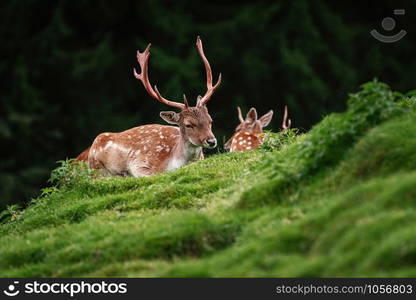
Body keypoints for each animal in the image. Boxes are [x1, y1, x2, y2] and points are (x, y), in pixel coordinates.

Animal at [83, 38, 221, 178]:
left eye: (210, 121)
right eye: (188, 124)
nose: (211, 141)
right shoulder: (138, 163)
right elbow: (152, 173)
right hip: (96, 166)